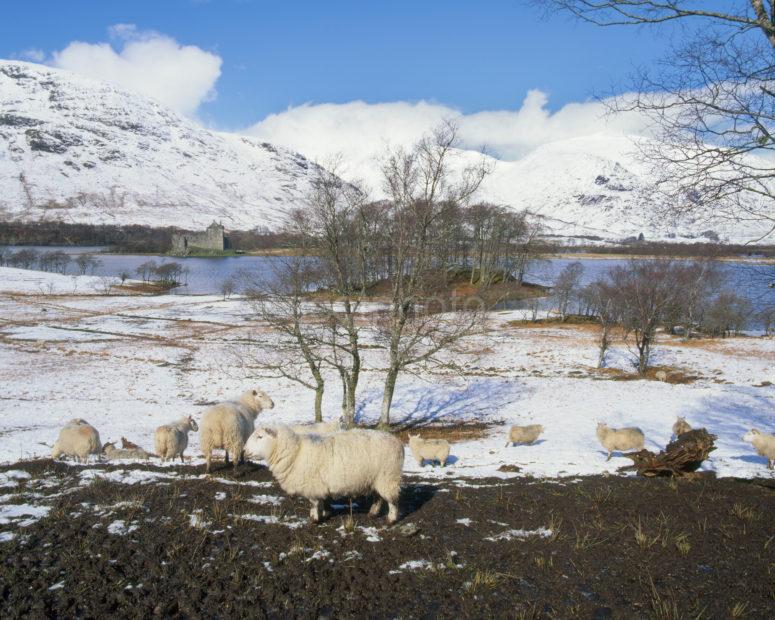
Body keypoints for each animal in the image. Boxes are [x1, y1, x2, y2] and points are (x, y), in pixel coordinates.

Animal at [247, 426, 406, 524]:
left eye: (260, 437)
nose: (244, 451)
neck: (296, 452)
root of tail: (398, 443)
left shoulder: (311, 484)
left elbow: (313, 503)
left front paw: (314, 519)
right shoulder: (318, 486)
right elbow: (321, 501)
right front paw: (323, 514)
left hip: (388, 477)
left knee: (393, 501)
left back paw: (391, 520)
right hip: (375, 479)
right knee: (378, 498)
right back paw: (373, 513)